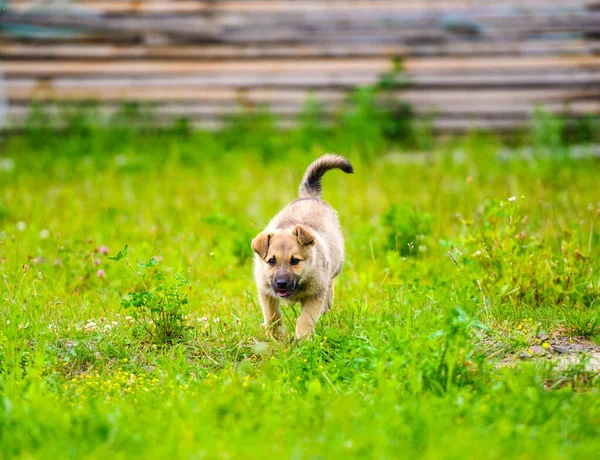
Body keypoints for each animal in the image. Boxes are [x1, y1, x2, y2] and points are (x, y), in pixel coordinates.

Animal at [251, 155, 354, 338]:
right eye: (271, 261)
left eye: (295, 261)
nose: (281, 283)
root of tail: (310, 195)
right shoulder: (265, 291)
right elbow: (272, 315)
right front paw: (275, 336)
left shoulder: (315, 295)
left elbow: (305, 318)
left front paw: (302, 339)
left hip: (337, 264)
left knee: (331, 283)